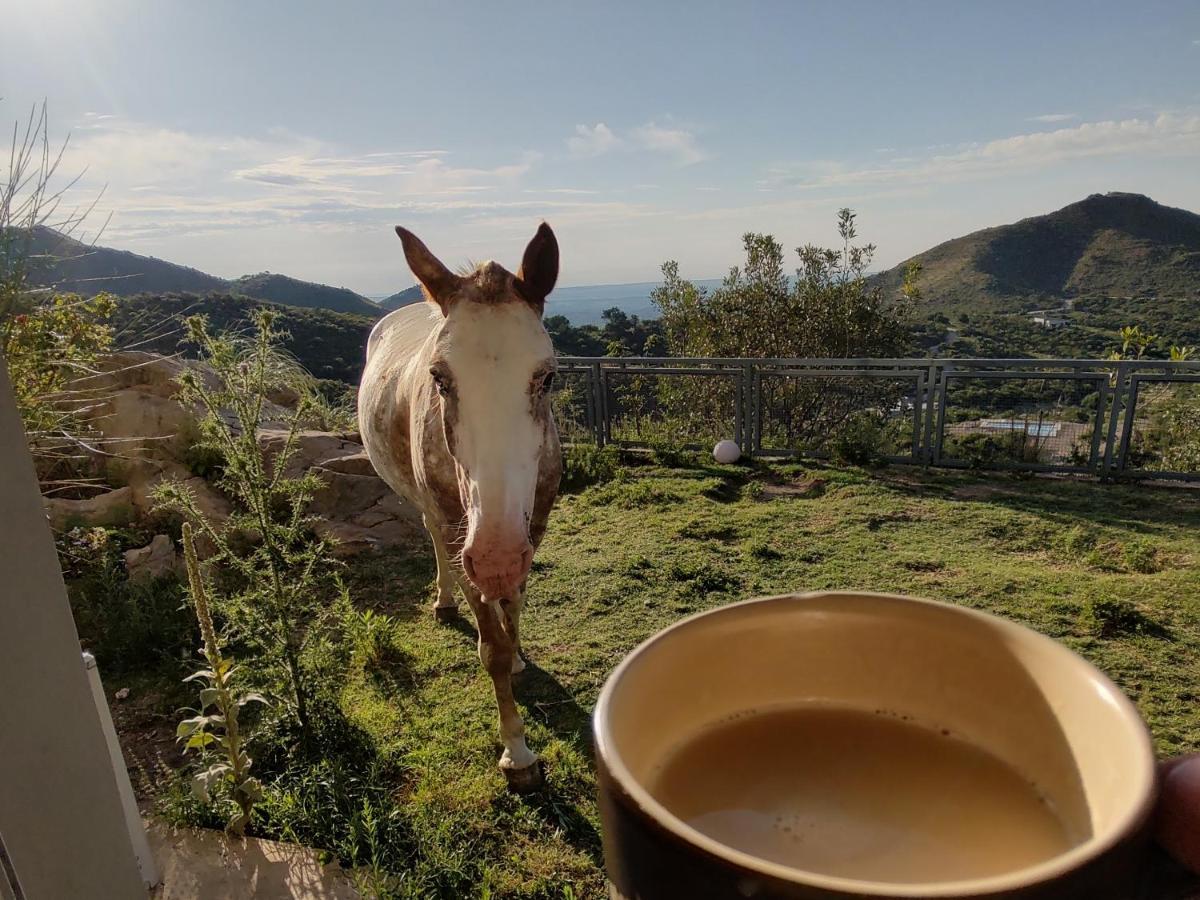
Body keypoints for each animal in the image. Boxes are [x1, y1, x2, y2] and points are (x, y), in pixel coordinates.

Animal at [355, 222, 561, 792]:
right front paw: (518, 753)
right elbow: (490, 644)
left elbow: (513, 607)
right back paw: (444, 599)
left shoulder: (531, 527)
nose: (493, 557)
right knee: (432, 538)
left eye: (547, 377)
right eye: (440, 379)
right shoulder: (462, 533)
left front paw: (519, 657)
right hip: (431, 510)